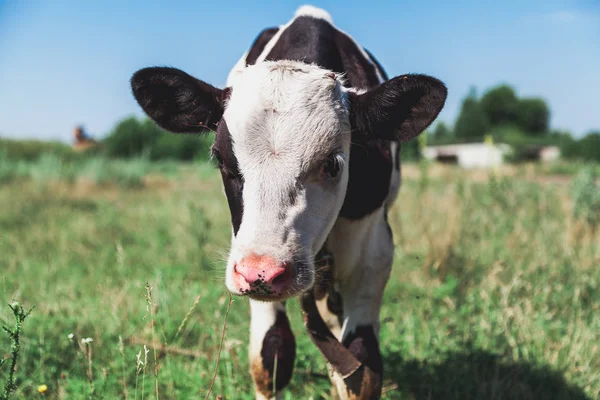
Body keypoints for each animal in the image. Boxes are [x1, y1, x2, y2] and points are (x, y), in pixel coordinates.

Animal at [129, 4, 442, 398]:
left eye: (333, 163)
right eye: (222, 161)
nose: (261, 272)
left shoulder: (374, 253)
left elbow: (362, 363)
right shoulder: (246, 248)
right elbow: (272, 354)